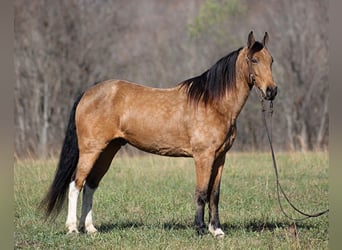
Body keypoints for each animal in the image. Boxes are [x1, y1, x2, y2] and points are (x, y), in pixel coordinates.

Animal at [40, 31, 278, 238]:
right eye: (254, 60)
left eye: (271, 60)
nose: (271, 91)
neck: (213, 103)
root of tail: (87, 93)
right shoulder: (203, 157)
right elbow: (201, 192)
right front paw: (200, 229)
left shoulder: (220, 158)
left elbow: (214, 194)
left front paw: (217, 230)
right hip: (91, 150)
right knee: (76, 184)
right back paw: (73, 228)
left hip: (108, 151)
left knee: (90, 185)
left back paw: (90, 228)